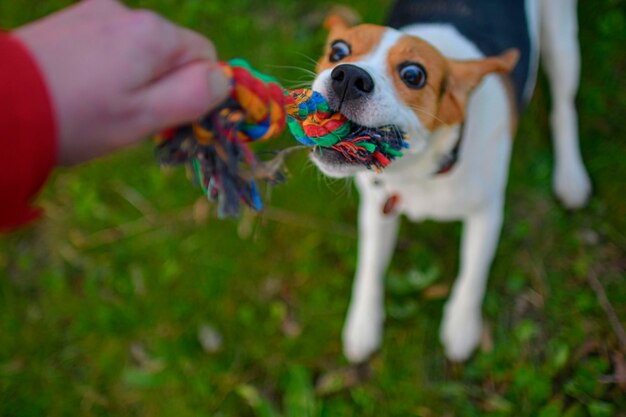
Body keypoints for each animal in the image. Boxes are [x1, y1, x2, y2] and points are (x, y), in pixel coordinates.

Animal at [308, 0, 588, 360]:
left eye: (413, 75)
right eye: (338, 50)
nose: (349, 76)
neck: (418, 173)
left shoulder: (487, 213)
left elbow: (473, 271)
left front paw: (461, 326)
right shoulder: (376, 208)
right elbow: (369, 267)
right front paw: (363, 324)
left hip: (562, 41)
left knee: (564, 106)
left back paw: (570, 175)